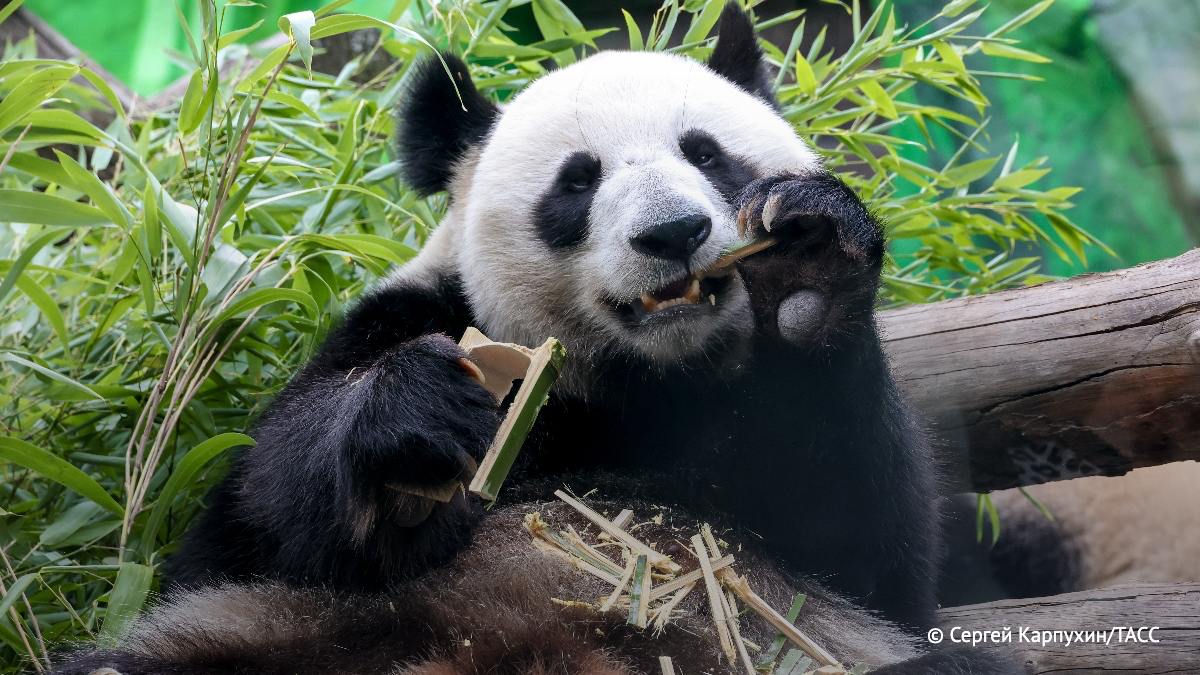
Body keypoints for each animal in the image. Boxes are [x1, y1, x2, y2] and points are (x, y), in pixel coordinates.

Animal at [51, 5, 1017, 672]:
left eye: (706, 153)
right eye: (576, 182)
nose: (672, 233)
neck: (645, 381)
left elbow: (871, 553)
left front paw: (810, 273)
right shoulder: (414, 316)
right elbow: (244, 532)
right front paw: (413, 436)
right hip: (280, 640)